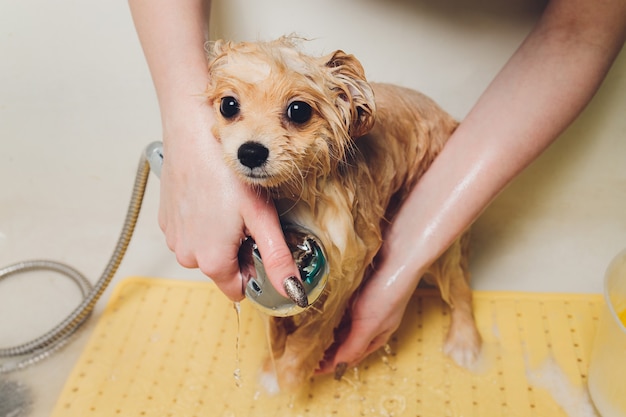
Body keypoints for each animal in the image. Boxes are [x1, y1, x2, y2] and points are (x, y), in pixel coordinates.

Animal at [205, 37, 478, 392]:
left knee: (459, 285)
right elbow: (275, 323)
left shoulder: (348, 264)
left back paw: (465, 344)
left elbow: (314, 331)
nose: (250, 152)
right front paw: (272, 363)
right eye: (228, 105)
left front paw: (289, 374)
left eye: (299, 110)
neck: (297, 191)